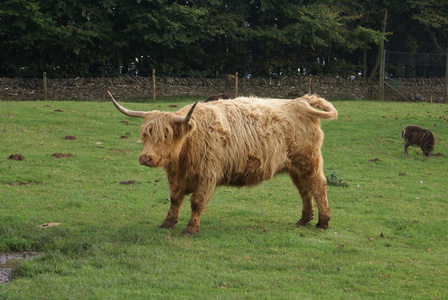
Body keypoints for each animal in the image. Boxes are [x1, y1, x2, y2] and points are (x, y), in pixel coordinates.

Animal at [108, 91, 338, 234]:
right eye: (145, 134)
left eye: (166, 135)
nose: (146, 158)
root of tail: (300, 101)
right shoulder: (176, 177)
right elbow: (174, 199)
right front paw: (167, 223)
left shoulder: (208, 175)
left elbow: (196, 202)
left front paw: (190, 228)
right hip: (295, 167)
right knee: (304, 190)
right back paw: (304, 220)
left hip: (309, 162)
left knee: (318, 186)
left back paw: (323, 222)